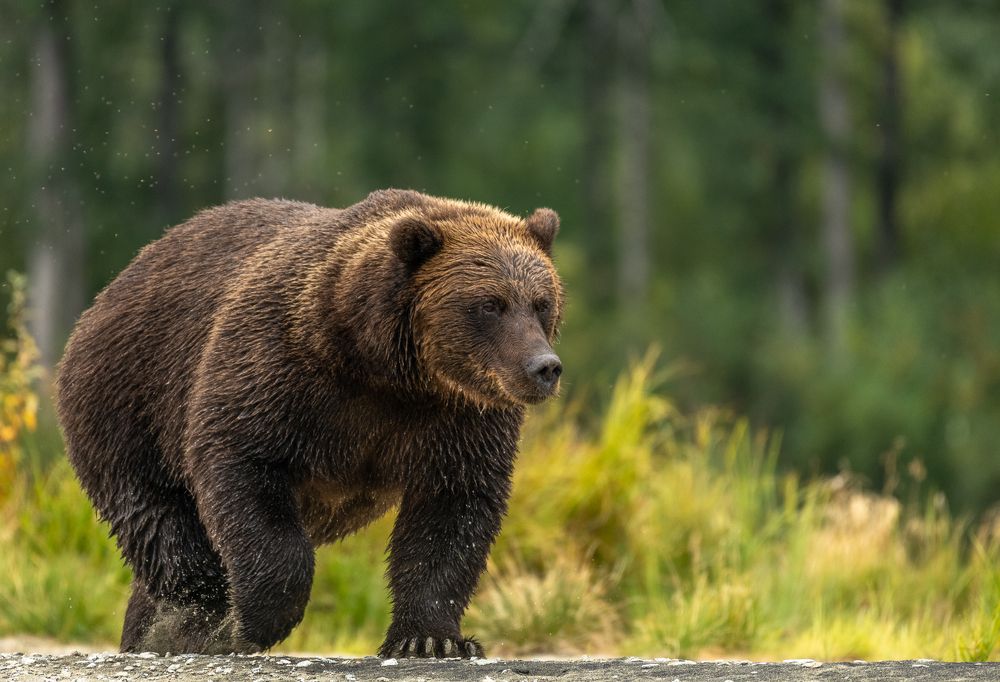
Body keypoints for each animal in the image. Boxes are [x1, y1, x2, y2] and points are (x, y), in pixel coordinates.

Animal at [55, 189, 564, 658]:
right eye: (490, 304)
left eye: (541, 302)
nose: (544, 367)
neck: (388, 371)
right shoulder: (283, 371)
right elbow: (244, 467)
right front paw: (248, 623)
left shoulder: (459, 417)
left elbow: (453, 512)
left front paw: (430, 640)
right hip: (128, 397)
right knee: (158, 514)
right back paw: (194, 614)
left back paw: (150, 627)